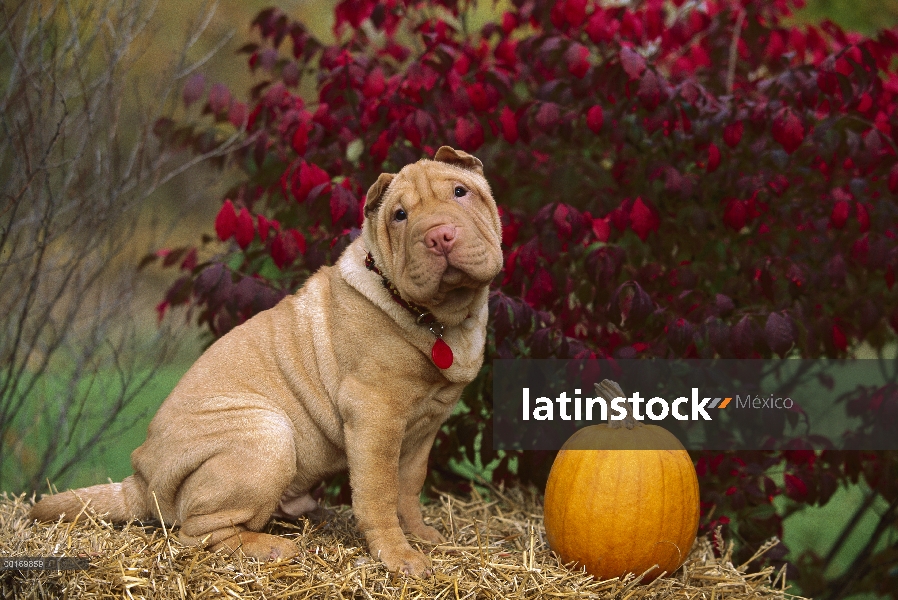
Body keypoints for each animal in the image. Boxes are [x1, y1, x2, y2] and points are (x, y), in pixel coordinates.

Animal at [29, 145, 504, 576]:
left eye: (460, 192)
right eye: (400, 216)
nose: (440, 235)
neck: (440, 320)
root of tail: (140, 480)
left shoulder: (423, 428)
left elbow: (408, 488)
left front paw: (421, 536)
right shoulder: (375, 416)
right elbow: (379, 494)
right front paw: (399, 556)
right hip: (268, 436)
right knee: (198, 532)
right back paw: (271, 547)